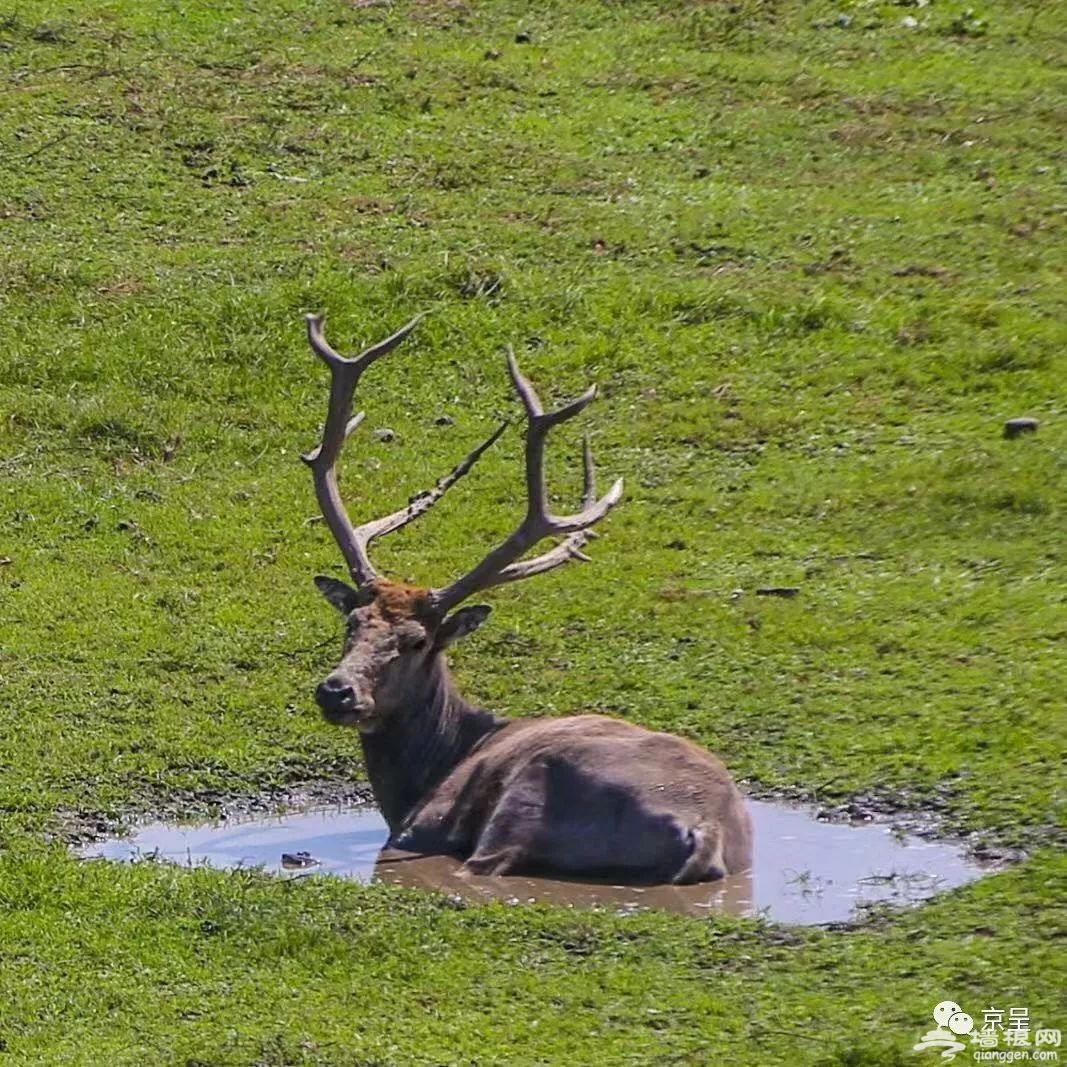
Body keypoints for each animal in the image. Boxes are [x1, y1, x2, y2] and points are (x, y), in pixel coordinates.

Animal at [300, 311, 751, 883]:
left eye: (417, 640)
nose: (336, 691)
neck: (432, 767)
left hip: (528, 798)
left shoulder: (422, 824)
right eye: (352, 622)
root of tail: (705, 833)